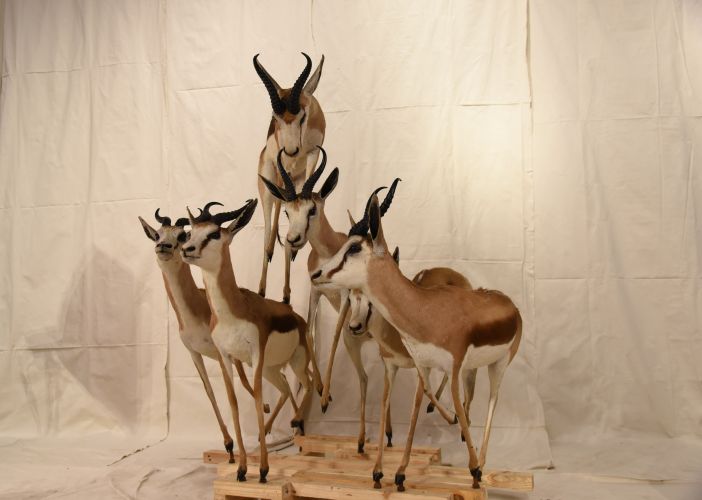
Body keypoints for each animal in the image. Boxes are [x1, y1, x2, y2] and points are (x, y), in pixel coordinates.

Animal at [138, 207, 264, 464]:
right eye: (157, 234)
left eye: (181, 235)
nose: (163, 246)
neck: (196, 313)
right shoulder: (194, 352)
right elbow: (209, 390)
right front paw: (228, 447)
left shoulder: (221, 353)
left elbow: (235, 389)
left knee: (249, 382)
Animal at [180, 199, 313, 484]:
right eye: (189, 232)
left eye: (214, 234)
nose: (187, 250)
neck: (233, 312)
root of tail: (297, 317)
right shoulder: (226, 357)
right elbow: (234, 403)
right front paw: (241, 468)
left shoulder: (255, 356)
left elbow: (257, 398)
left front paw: (263, 470)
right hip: (273, 368)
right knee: (287, 387)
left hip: (296, 360)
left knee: (309, 383)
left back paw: (297, 423)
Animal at [254, 52, 326, 305]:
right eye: (275, 117)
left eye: (302, 116)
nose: (292, 150)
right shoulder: (278, 165)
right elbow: (276, 219)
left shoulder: (313, 154)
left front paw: (294, 247)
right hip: (267, 181)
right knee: (268, 228)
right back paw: (262, 290)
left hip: (294, 178)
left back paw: (285, 294)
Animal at [259, 152, 456, 453]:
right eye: (287, 211)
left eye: (312, 209)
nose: (293, 239)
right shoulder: (316, 292)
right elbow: (312, 335)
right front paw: (317, 392)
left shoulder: (345, 295)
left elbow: (333, 335)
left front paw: (324, 397)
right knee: (370, 375)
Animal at [311, 194, 523, 491]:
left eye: (353, 247)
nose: (316, 273)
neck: (426, 310)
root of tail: (509, 304)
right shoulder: (423, 365)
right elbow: (418, 404)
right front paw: (393, 473)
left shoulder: (451, 366)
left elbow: (445, 403)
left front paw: (473, 470)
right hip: (471, 369)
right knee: (470, 398)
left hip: (500, 363)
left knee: (492, 399)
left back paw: (480, 463)